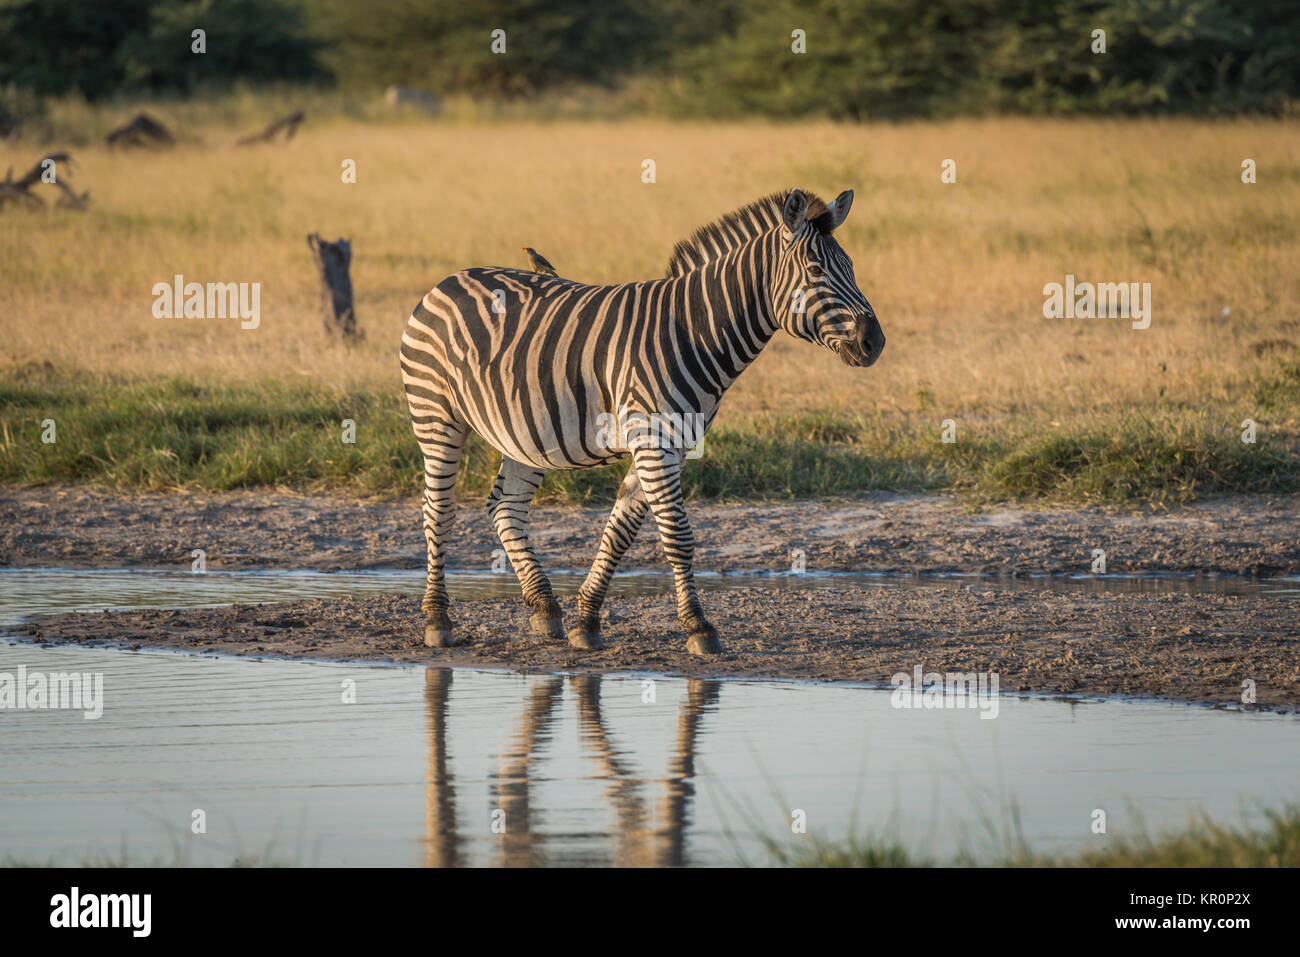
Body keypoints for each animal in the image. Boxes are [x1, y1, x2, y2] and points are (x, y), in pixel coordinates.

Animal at [397, 191, 883, 660]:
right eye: (816, 270)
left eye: (852, 267)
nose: (874, 342)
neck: (696, 333)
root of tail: (448, 280)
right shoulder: (653, 441)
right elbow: (678, 535)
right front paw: (699, 627)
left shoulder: (674, 445)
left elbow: (621, 533)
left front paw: (587, 621)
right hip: (436, 413)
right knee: (437, 511)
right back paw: (438, 620)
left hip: (523, 432)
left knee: (505, 507)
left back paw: (545, 608)